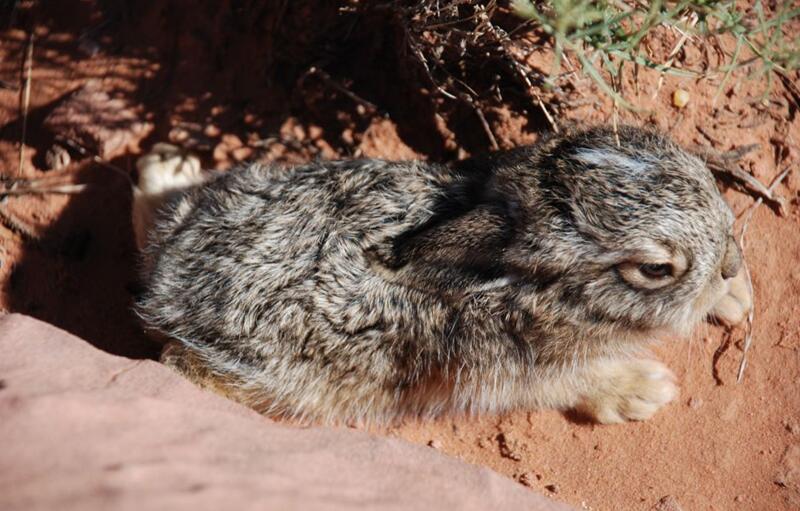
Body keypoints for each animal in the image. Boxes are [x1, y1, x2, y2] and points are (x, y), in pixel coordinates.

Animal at [130, 126, 752, 426]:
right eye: (655, 269)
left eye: (703, 174)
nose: (728, 262)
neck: (526, 290)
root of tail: (165, 287)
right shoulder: (504, 370)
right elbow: (571, 382)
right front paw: (644, 390)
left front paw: (737, 298)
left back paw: (165, 168)